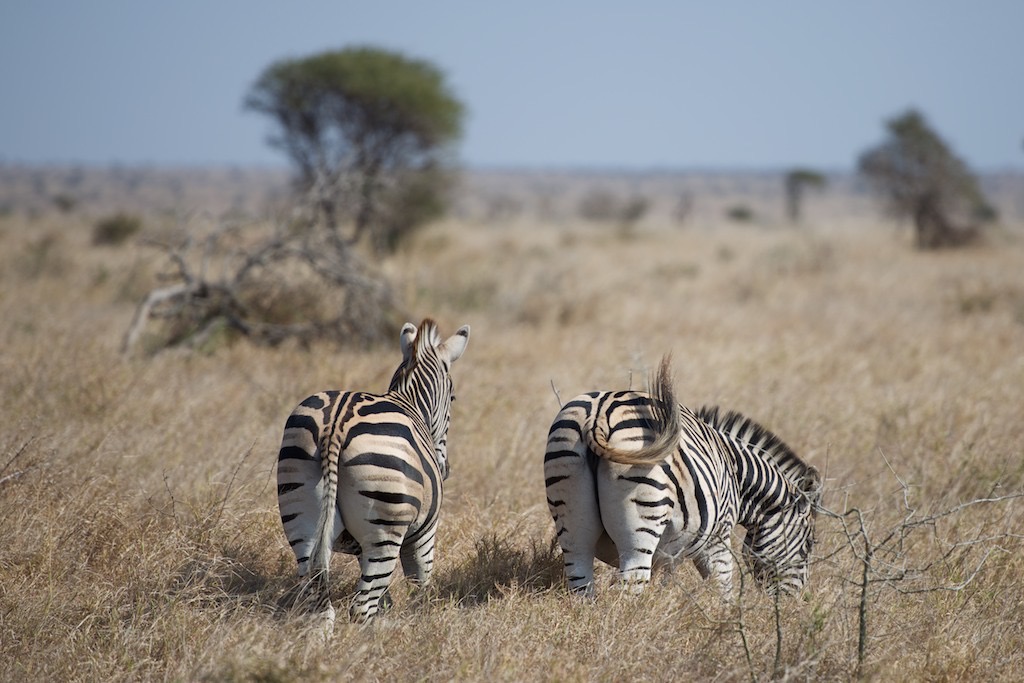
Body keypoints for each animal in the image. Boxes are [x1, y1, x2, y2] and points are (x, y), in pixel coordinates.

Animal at [280, 317, 471, 626]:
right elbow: (421, 585)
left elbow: (384, 595)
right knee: (360, 608)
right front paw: (422, 622)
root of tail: (335, 425)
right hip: (385, 530)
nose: (446, 469)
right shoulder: (424, 535)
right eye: (453, 398)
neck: (409, 401)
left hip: (301, 518)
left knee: (320, 606)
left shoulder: (359, 546)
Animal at [544, 358, 823, 598]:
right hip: (641, 524)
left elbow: (665, 581)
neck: (739, 477)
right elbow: (723, 589)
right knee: (631, 585)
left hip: (570, 509)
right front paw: (728, 622)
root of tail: (599, 414)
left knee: (581, 580)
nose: (795, 603)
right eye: (809, 544)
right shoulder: (718, 536)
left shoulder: (671, 552)